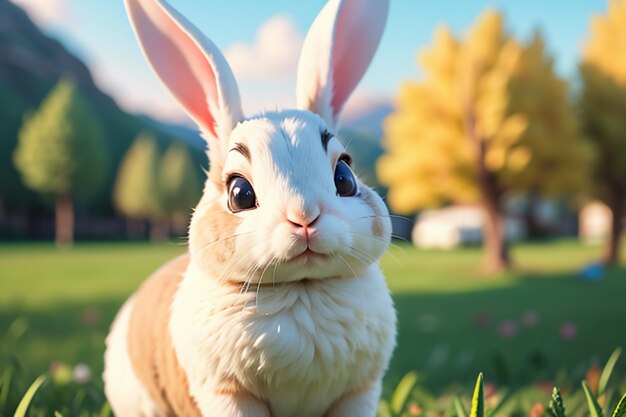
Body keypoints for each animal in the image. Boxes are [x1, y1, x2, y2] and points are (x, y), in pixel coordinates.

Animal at [103, 0, 394, 416]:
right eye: (239, 192)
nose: (305, 217)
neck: (301, 288)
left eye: (344, 177)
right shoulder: (227, 394)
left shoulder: (359, 391)